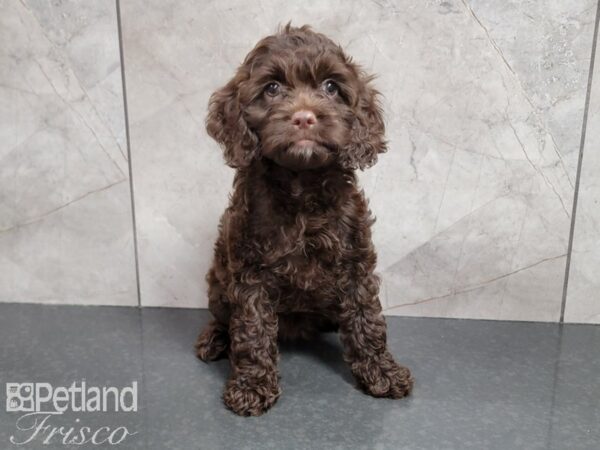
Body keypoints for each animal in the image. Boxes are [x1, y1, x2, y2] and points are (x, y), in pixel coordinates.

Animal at [197, 23, 412, 414]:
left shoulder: (355, 260)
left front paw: (381, 370)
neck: (301, 184)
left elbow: (366, 317)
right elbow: (251, 328)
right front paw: (252, 385)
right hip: (219, 281)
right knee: (224, 318)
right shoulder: (250, 271)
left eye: (330, 87)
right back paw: (215, 339)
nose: (304, 118)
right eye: (272, 88)